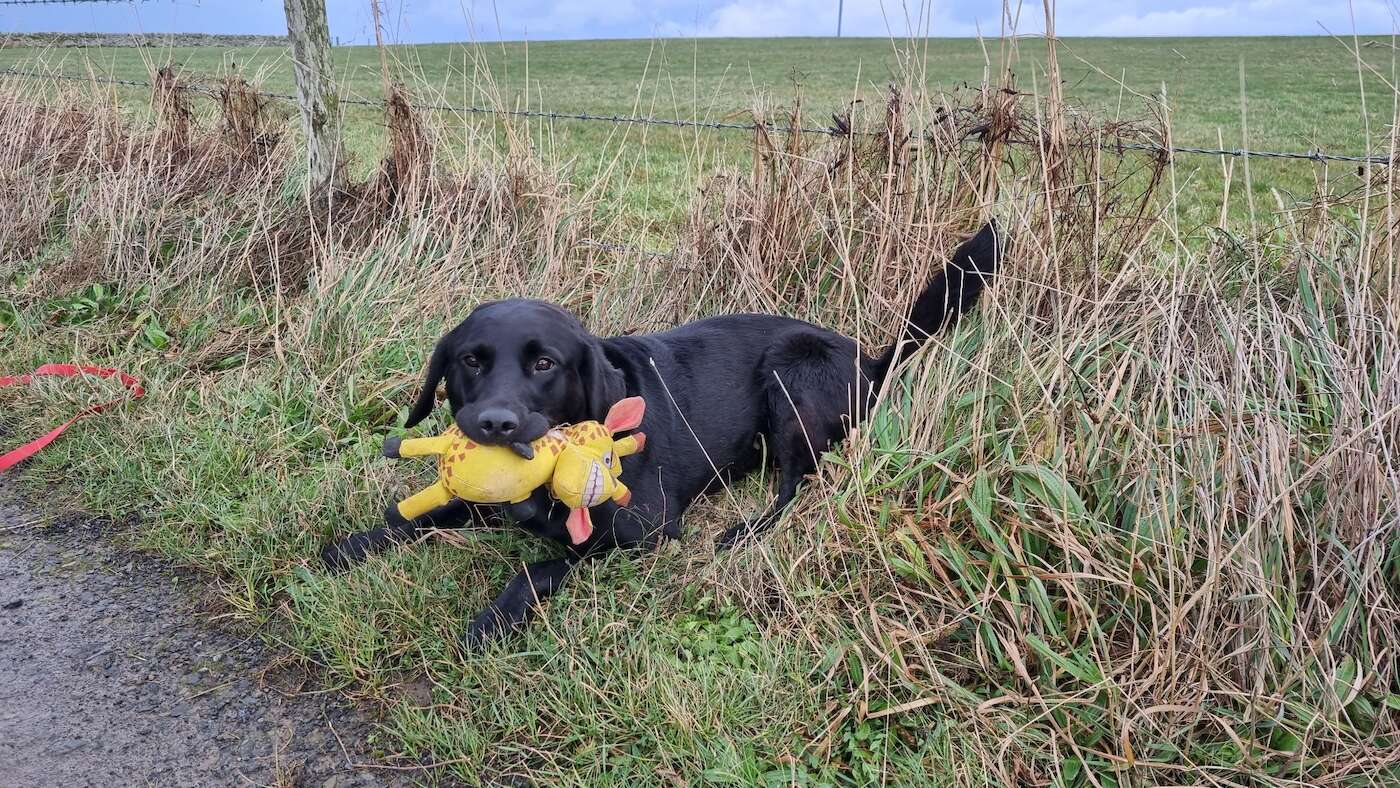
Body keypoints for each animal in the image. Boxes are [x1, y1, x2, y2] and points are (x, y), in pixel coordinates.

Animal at [322, 222, 1002, 646]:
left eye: (544, 364)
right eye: (471, 361)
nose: (494, 424)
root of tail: (873, 358)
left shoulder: (643, 531)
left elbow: (540, 566)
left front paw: (494, 618)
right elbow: (427, 513)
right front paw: (353, 546)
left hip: (791, 377)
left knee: (798, 483)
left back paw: (744, 529)